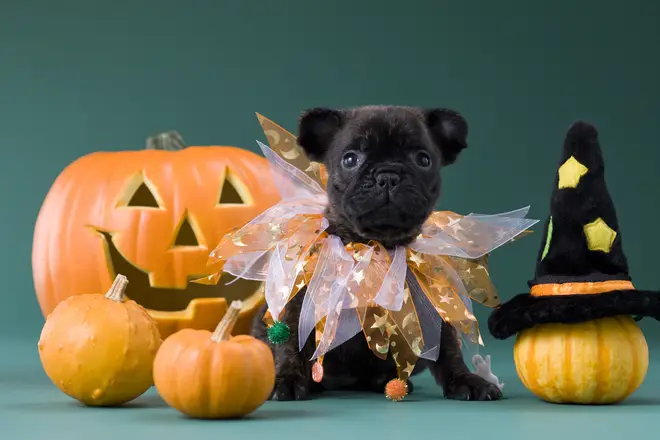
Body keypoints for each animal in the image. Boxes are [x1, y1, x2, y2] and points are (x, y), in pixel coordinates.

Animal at [251, 105, 500, 402]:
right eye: (350, 159)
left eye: (423, 159)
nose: (388, 175)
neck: (375, 247)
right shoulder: (299, 300)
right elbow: (290, 342)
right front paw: (287, 379)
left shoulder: (431, 304)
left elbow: (448, 347)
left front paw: (466, 379)